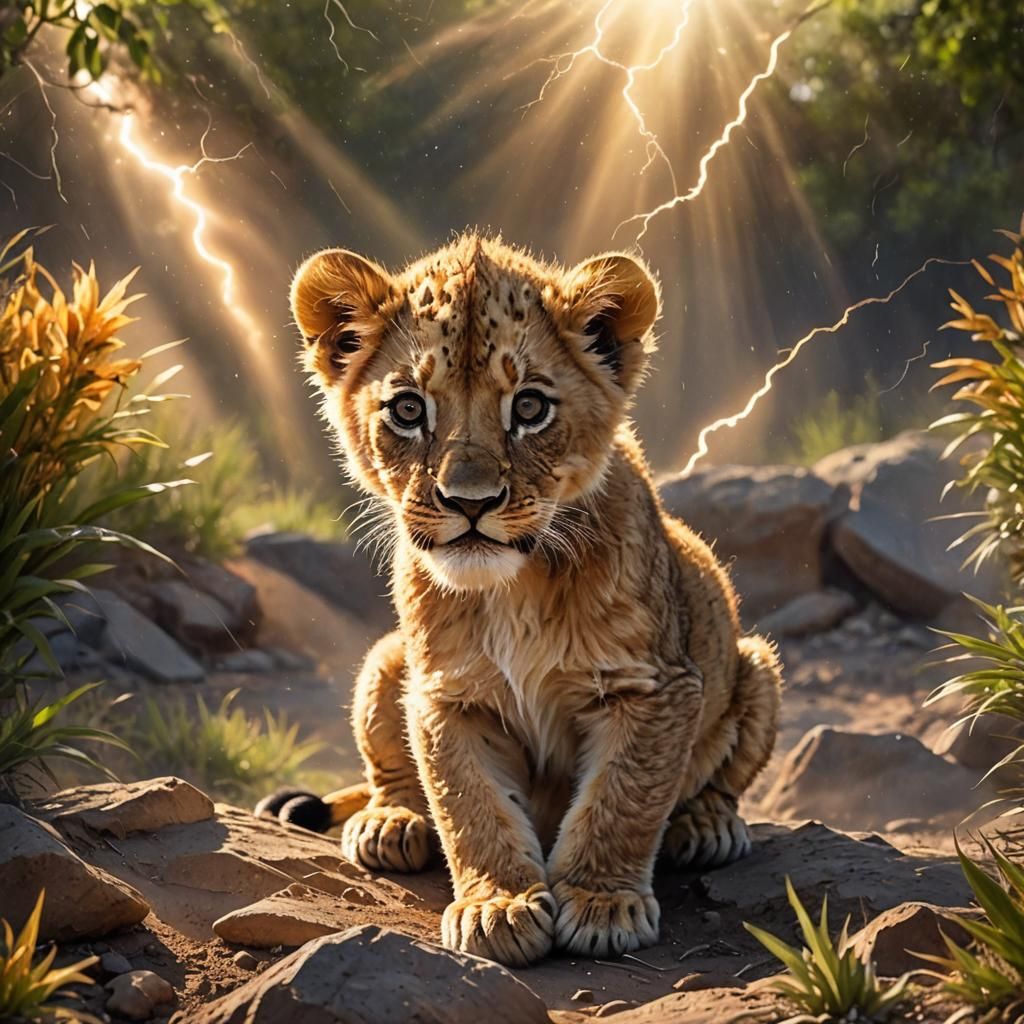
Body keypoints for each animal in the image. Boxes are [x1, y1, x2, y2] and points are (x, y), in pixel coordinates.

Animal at [256, 233, 782, 967]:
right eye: (409, 409)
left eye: (530, 408)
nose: (469, 502)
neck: (511, 590)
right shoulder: (446, 695)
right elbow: (471, 807)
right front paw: (496, 907)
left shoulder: (654, 686)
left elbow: (621, 798)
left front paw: (601, 903)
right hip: (386, 660)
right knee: (390, 772)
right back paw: (390, 822)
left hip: (757, 665)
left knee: (719, 778)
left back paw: (706, 827)